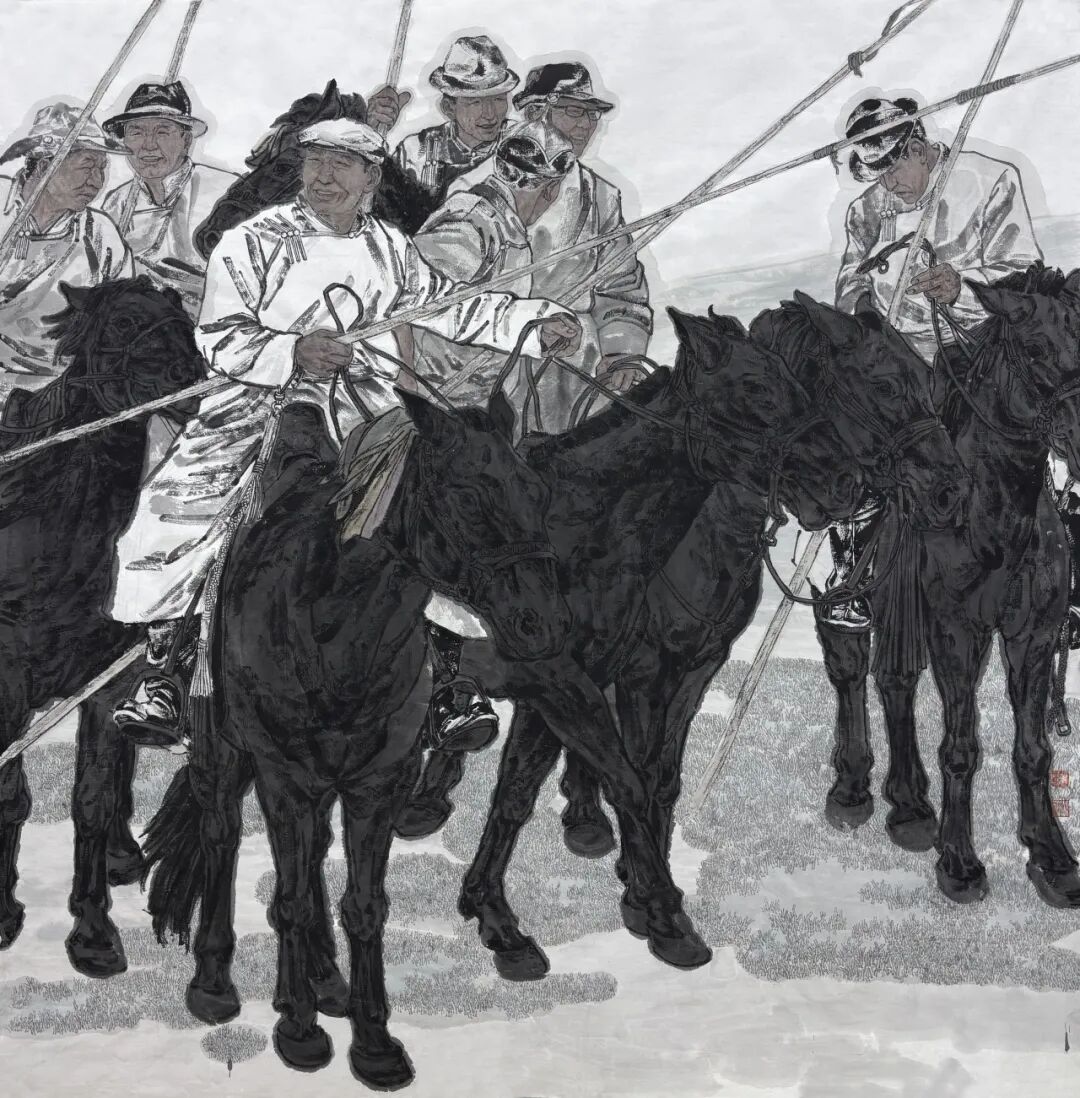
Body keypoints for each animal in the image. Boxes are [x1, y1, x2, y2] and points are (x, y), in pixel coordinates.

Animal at [0, 276, 205, 976]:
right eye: (118, 326)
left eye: (182, 320)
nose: (195, 383)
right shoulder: (9, 679)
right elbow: (10, 793)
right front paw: (3, 913)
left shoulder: (104, 682)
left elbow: (90, 799)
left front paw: (92, 933)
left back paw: (121, 855)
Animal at [138, 388, 572, 1087]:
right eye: (466, 494)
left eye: (533, 490)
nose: (545, 624)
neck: (333, 629)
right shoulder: (285, 777)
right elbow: (288, 895)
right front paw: (299, 1032)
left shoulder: (379, 783)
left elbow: (364, 904)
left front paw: (372, 1041)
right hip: (221, 752)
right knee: (221, 834)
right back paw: (216, 981)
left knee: (311, 854)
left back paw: (323, 979)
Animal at [816, 263, 1080, 908]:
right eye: (1036, 350)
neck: (996, 515)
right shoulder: (957, 634)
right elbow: (961, 749)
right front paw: (959, 863)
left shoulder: (1033, 637)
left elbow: (1033, 749)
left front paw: (1051, 857)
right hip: (842, 602)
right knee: (849, 671)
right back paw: (852, 791)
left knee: (895, 684)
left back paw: (910, 808)